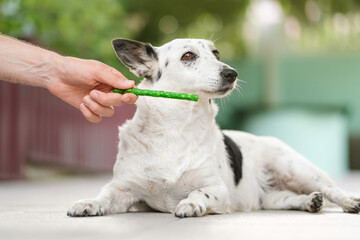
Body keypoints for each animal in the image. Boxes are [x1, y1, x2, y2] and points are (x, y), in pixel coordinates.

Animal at [68, 38, 360, 218]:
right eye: (188, 55)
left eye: (216, 54)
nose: (232, 72)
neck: (176, 127)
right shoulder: (125, 190)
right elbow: (104, 195)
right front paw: (88, 203)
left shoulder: (217, 188)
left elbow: (200, 191)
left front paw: (191, 203)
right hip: (271, 197)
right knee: (289, 199)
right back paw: (309, 201)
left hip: (293, 167)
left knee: (332, 189)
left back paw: (348, 201)